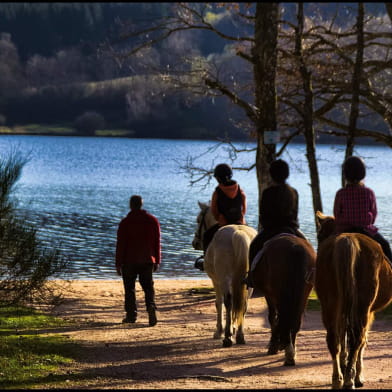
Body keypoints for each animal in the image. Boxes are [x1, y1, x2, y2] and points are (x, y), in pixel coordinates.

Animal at [193, 202, 258, 346]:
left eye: (199, 220)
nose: (195, 243)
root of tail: (239, 233)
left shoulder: (215, 281)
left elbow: (219, 303)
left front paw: (220, 331)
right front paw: (233, 328)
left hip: (224, 278)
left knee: (228, 301)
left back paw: (227, 337)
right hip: (248, 282)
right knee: (244, 303)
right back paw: (240, 335)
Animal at [250, 233, 316, 364]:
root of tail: (295, 248)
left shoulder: (270, 295)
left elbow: (273, 318)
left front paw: (274, 345)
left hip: (280, 295)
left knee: (283, 317)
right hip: (303, 295)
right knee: (295, 321)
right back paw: (291, 353)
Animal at [316, 211, 392, 388]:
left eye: (320, 235)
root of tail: (348, 240)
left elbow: (344, 337)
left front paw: (344, 365)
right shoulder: (369, 312)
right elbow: (361, 342)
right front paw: (358, 374)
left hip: (330, 304)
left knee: (334, 339)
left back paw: (337, 378)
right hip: (362, 307)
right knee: (358, 338)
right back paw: (350, 379)